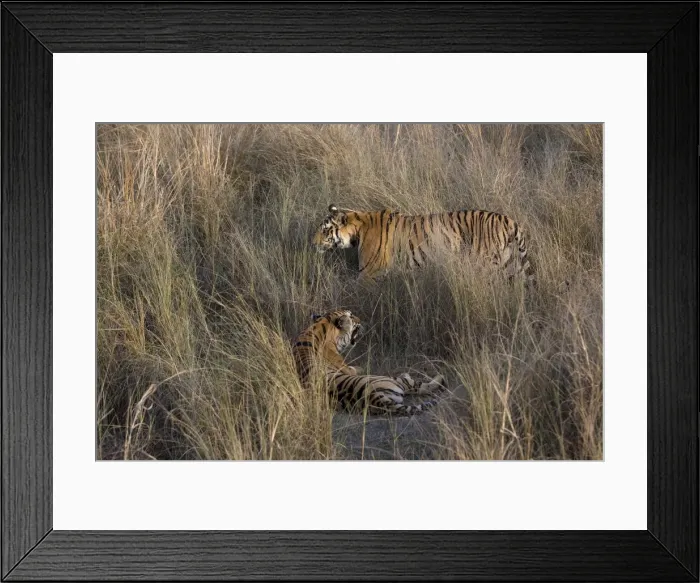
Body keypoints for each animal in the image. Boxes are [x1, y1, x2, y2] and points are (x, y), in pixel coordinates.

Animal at [292, 309, 446, 416]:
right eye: (351, 316)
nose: (360, 318)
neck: (318, 328)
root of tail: (374, 398)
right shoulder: (346, 368)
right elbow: (355, 368)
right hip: (391, 379)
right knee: (420, 386)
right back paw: (437, 376)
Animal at [313, 204, 534, 282]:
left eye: (324, 230)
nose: (312, 243)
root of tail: (509, 220)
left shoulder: (369, 274)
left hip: (487, 264)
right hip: (509, 264)